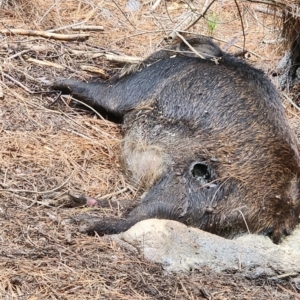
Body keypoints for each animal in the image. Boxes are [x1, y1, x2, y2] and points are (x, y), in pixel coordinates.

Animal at [50, 43, 300, 244]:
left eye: (160, 52)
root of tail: (279, 218)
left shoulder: (142, 83)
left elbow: (106, 94)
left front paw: (53, 82)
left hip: (186, 188)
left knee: (136, 217)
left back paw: (81, 221)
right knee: (132, 207)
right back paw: (69, 199)